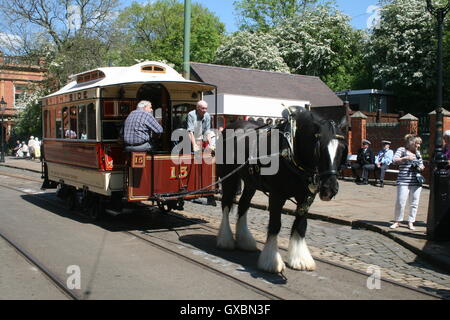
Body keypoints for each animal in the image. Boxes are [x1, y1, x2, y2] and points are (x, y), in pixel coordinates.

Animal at [215, 107, 348, 272]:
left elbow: (301, 225)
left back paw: (245, 241)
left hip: (251, 183)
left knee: (243, 205)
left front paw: (300, 259)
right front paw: (271, 261)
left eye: (342, 149)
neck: (290, 151)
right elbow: (275, 225)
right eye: (319, 148)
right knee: (226, 204)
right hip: (228, 178)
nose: (329, 189)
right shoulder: (276, 195)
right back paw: (225, 240)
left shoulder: (306, 198)